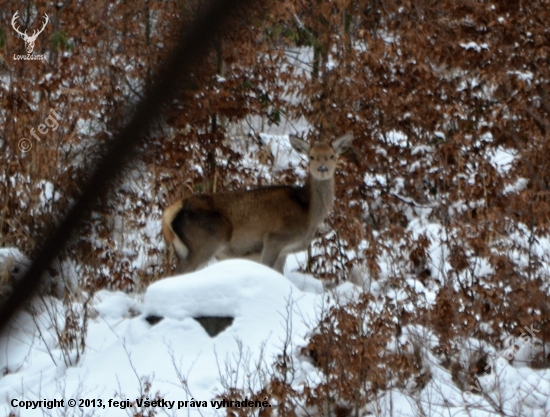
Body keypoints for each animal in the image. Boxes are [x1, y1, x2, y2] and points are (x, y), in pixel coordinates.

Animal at [162, 132, 356, 272]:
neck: (308, 213)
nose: (322, 169)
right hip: (208, 240)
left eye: (332, 156)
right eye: (311, 157)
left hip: (183, 249)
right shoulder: (275, 238)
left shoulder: (285, 251)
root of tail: (169, 213)